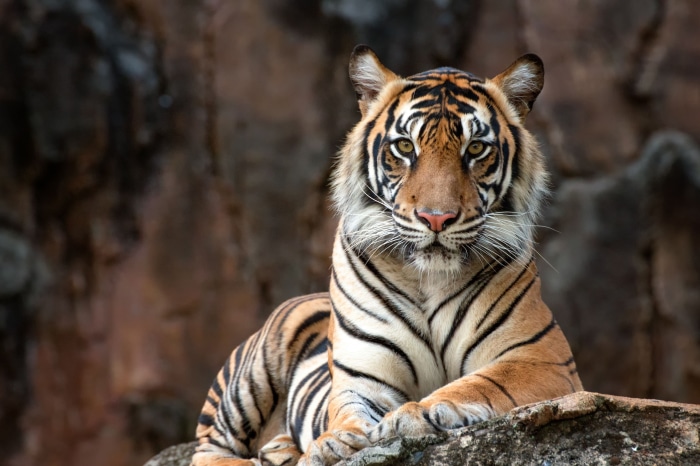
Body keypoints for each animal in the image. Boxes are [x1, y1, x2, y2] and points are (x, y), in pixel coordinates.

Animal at [192, 45, 583, 466]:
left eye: (476, 149)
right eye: (405, 147)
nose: (436, 218)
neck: (430, 278)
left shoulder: (540, 358)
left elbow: (477, 384)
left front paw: (416, 413)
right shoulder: (361, 374)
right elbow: (346, 411)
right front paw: (333, 443)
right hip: (250, 379)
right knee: (208, 448)